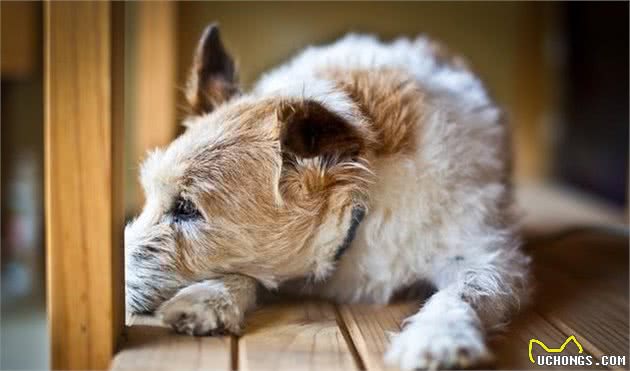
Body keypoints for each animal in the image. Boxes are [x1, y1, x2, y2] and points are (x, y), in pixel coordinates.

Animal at [126, 24, 532, 370]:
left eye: (186, 208)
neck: (362, 201)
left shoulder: (488, 254)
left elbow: (463, 290)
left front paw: (438, 338)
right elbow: (249, 273)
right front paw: (209, 297)